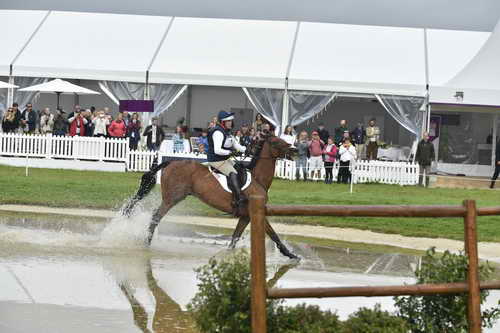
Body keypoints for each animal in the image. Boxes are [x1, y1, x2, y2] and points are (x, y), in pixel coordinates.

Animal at [125, 134, 298, 258]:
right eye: (277, 142)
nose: (295, 150)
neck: (258, 179)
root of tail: (171, 162)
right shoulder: (255, 213)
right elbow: (274, 235)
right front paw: (290, 255)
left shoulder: (246, 216)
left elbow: (235, 237)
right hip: (172, 198)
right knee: (156, 217)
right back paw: (146, 244)